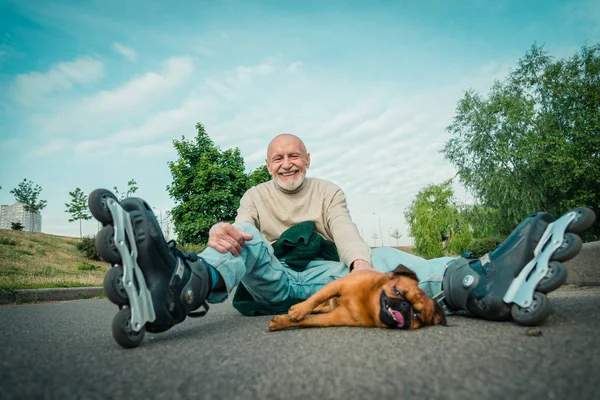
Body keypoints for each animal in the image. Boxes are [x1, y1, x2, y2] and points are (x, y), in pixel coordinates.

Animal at [268, 264, 446, 330]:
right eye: (397, 292)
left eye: (416, 315)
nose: (405, 305)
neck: (366, 302)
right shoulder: (336, 285)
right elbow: (316, 298)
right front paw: (299, 310)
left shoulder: (333, 318)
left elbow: (307, 321)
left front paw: (282, 322)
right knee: (320, 303)